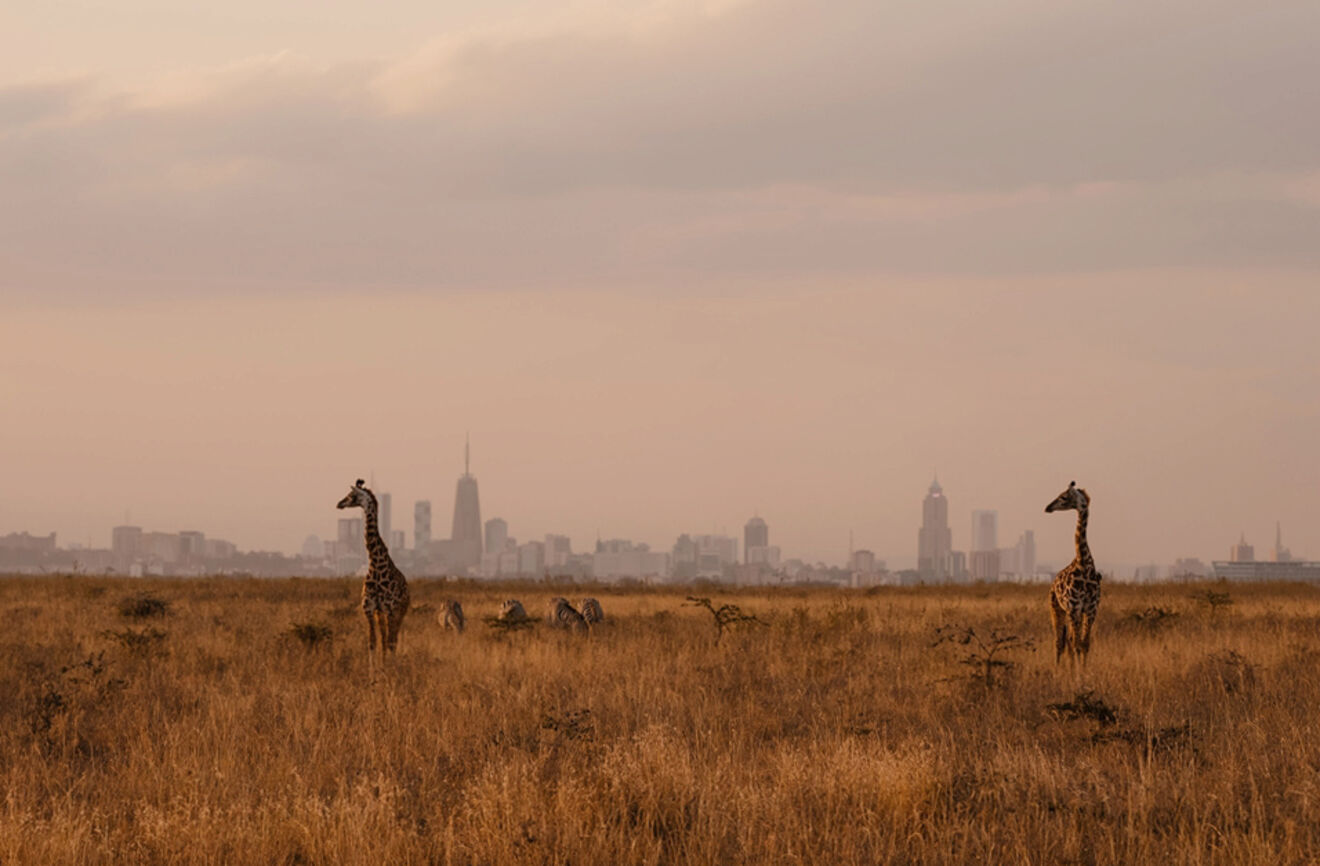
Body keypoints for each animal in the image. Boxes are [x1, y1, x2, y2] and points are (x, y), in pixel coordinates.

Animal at [335, 480, 406, 657]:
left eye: (352, 495)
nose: (339, 503)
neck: (375, 565)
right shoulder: (369, 609)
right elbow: (373, 643)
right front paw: (376, 665)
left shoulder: (390, 609)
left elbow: (390, 643)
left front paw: (389, 665)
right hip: (381, 614)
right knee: (384, 639)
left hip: (400, 612)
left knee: (393, 640)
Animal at [1045, 480, 1098, 662]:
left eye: (1063, 496)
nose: (1047, 507)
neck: (1084, 565)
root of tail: (1052, 584)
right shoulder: (1073, 608)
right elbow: (1077, 645)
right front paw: (1078, 671)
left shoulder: (1090, 609)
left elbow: (1084, 645)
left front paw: (1084, 670)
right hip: (1056, 608)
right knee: (1059, 642)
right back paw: (1057, 669)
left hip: (1072, 613)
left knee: (1067, 641)